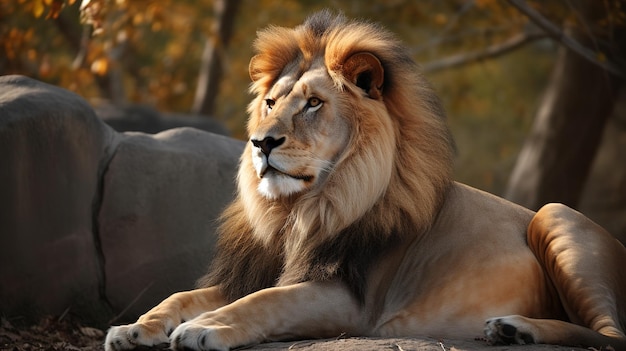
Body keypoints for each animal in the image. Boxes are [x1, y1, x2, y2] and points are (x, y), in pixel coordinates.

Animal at [103, 11, 624, 351]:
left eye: (313, 104)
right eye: (271, 102)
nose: (261, 143)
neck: (298, 212)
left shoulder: (354, 302)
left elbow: (265, 303)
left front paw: (204, 327)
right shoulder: (262, 269)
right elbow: (184, 295)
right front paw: (136, 327)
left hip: (556, 214)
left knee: (611, 336)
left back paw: (518, 327)